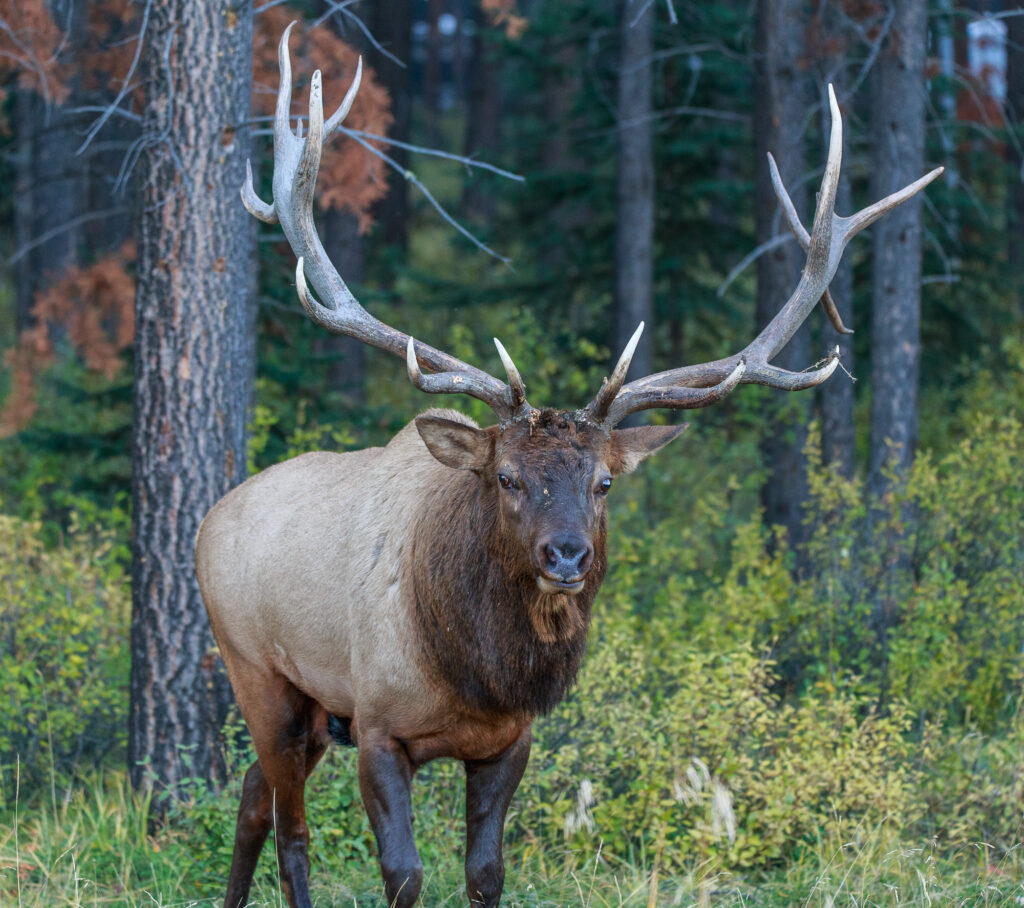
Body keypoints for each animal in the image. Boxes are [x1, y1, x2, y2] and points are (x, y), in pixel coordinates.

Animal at [193, 21, 942, 908]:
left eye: (605, 481)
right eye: (507, 478)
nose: (566, 555)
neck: (474, 673)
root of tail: (210, 518)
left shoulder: (509, 740)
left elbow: (486, 873)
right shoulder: (375, 723)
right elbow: (403, 878)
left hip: (310, 709)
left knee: (251, 797)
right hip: (259, 673)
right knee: (290, 829)